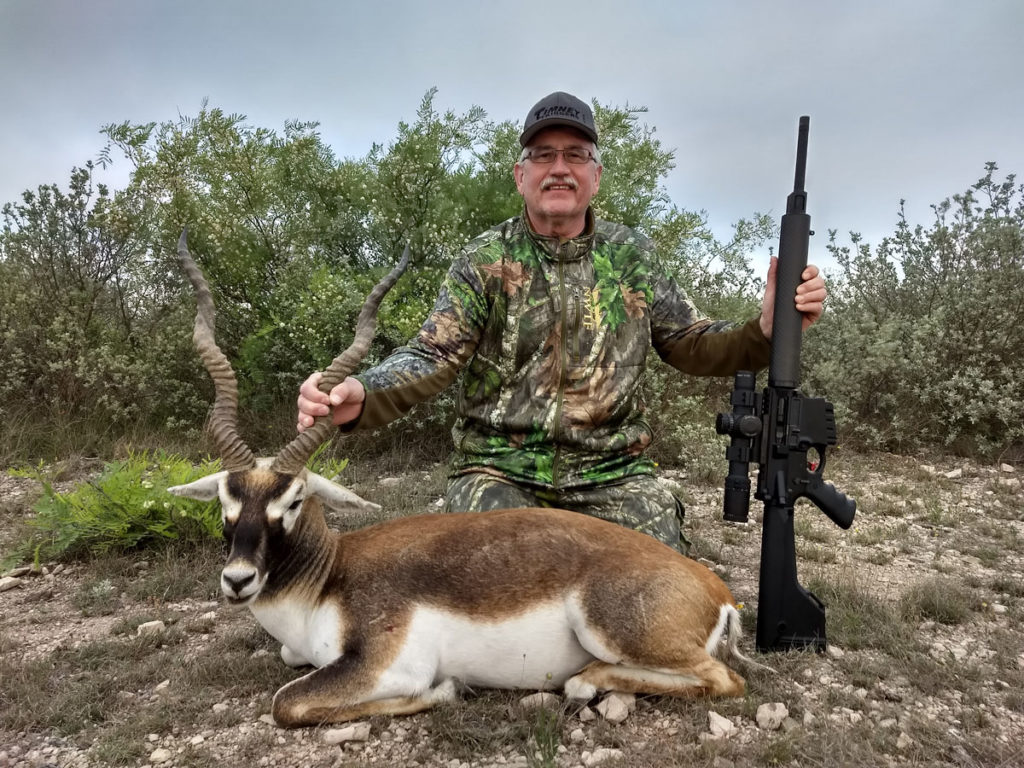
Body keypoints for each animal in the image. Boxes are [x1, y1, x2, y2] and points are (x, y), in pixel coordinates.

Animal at [167, 231, 761, 729]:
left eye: (291, 501)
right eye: (224, 497)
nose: (238, 579)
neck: (328, 579)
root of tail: (717, 591)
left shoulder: (387, 666)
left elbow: (287, 702)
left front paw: (444, 691)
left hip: (611, 629)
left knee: (725, 680)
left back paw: (586, 681)